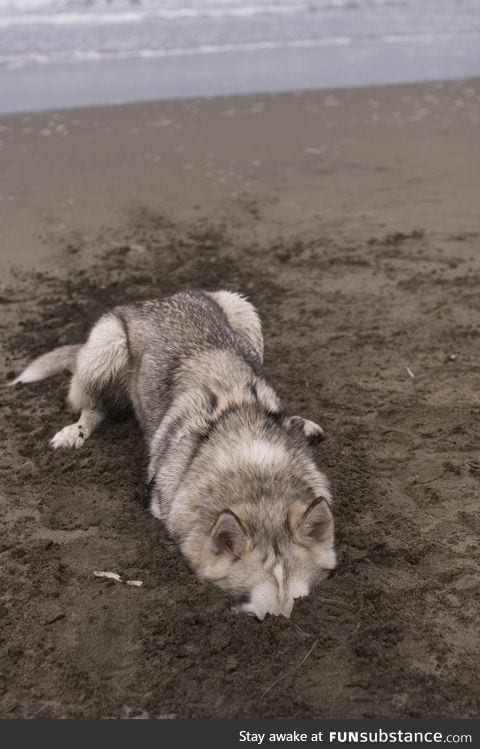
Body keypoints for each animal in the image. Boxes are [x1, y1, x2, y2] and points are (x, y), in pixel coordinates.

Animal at [11, 290, 336, 616]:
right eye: (258, 618)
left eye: (300, 607)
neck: (255, 473)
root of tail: (160, 298)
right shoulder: (159, 502)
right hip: (105, 349)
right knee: (94, 407)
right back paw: (74, 432)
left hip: (243, 313)